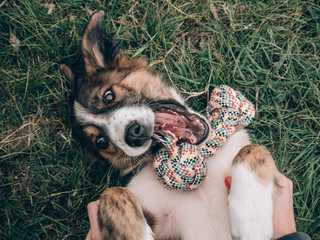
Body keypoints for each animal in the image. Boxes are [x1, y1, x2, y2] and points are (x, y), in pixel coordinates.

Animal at [60, 11, 280, 240]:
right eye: (101, 142)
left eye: (108, 95)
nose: (134, 134)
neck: (202, 155)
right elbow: (111, 193)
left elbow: (253, 149)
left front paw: (251, 217)